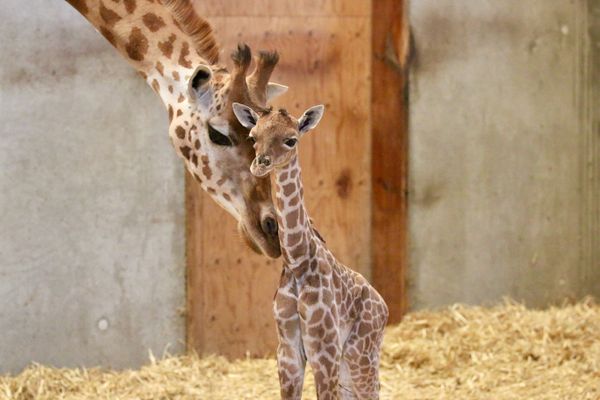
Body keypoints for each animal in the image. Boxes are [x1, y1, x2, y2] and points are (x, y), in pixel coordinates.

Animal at [234, 101, 390, 398]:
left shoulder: (324, 350)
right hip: (348, 367)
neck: (297, 259)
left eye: (291, 139)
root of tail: (385, 308)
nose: (260, 165)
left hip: (360, 356)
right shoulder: (287, 351)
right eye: (253, 137)